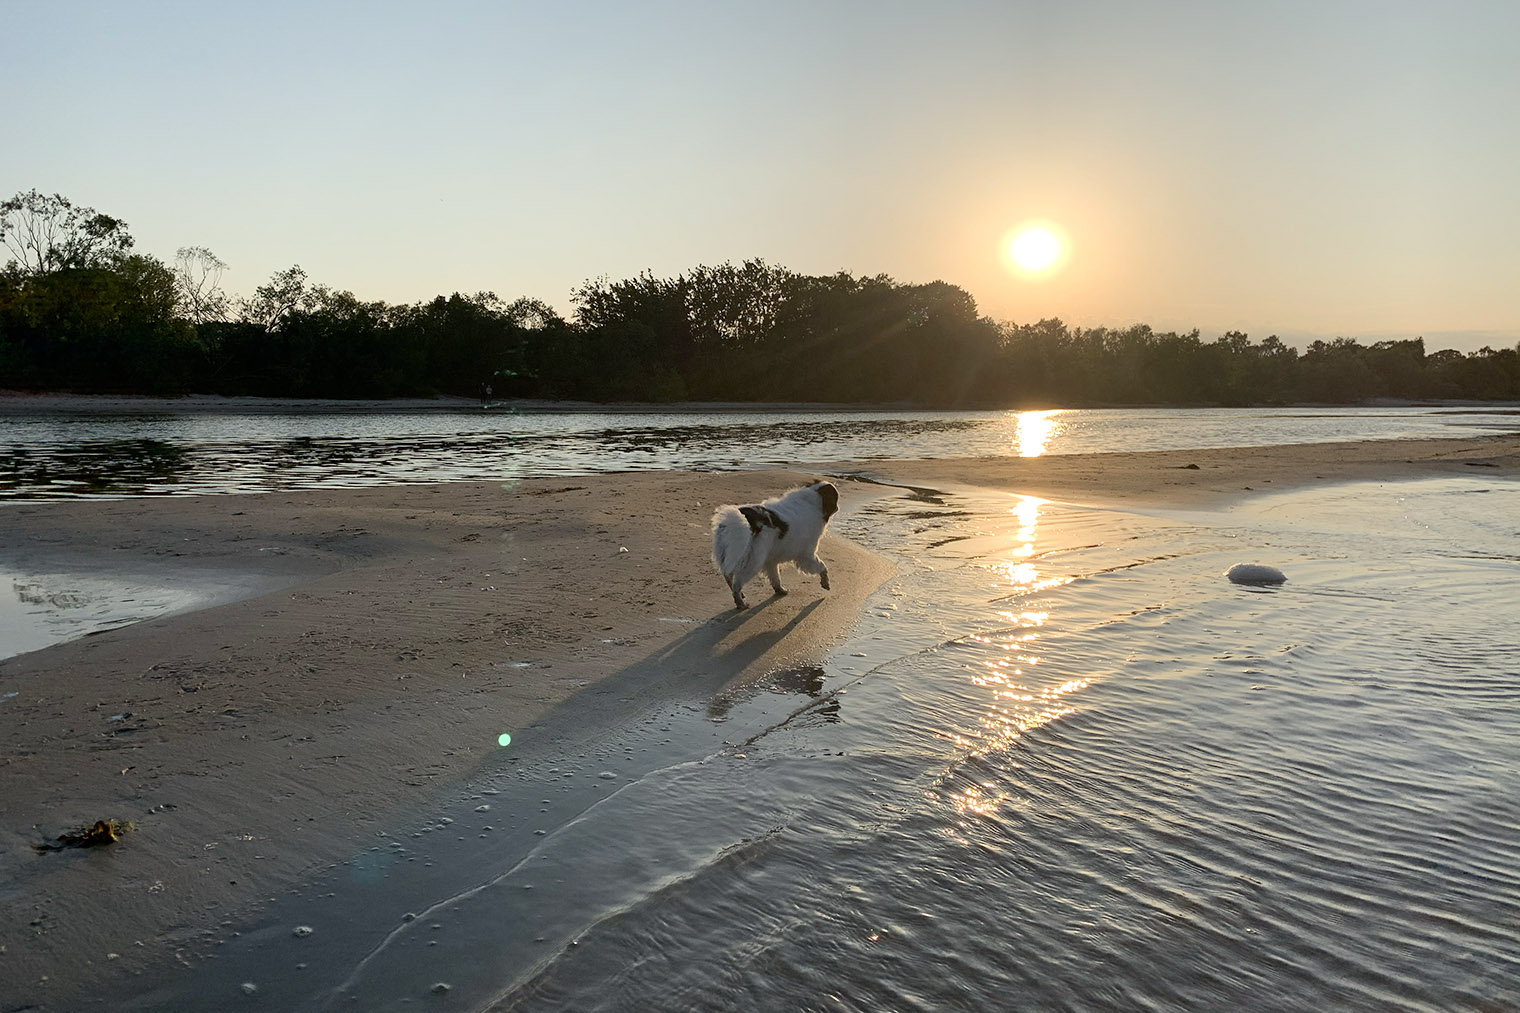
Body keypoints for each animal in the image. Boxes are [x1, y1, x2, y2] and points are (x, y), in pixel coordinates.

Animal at [708, 480, 839, 608]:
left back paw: (741, 596)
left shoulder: (771, 560)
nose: (838, 507)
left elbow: (775, 577)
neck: (814, 501)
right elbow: (822, 567)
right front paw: (825, 583)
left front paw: (780, 590)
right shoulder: (806, 555)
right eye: (836, 498)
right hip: (753, 561)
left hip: (730, 554)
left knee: (728, 576)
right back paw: (741, 603)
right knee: (736, 583)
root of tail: (739, 518)